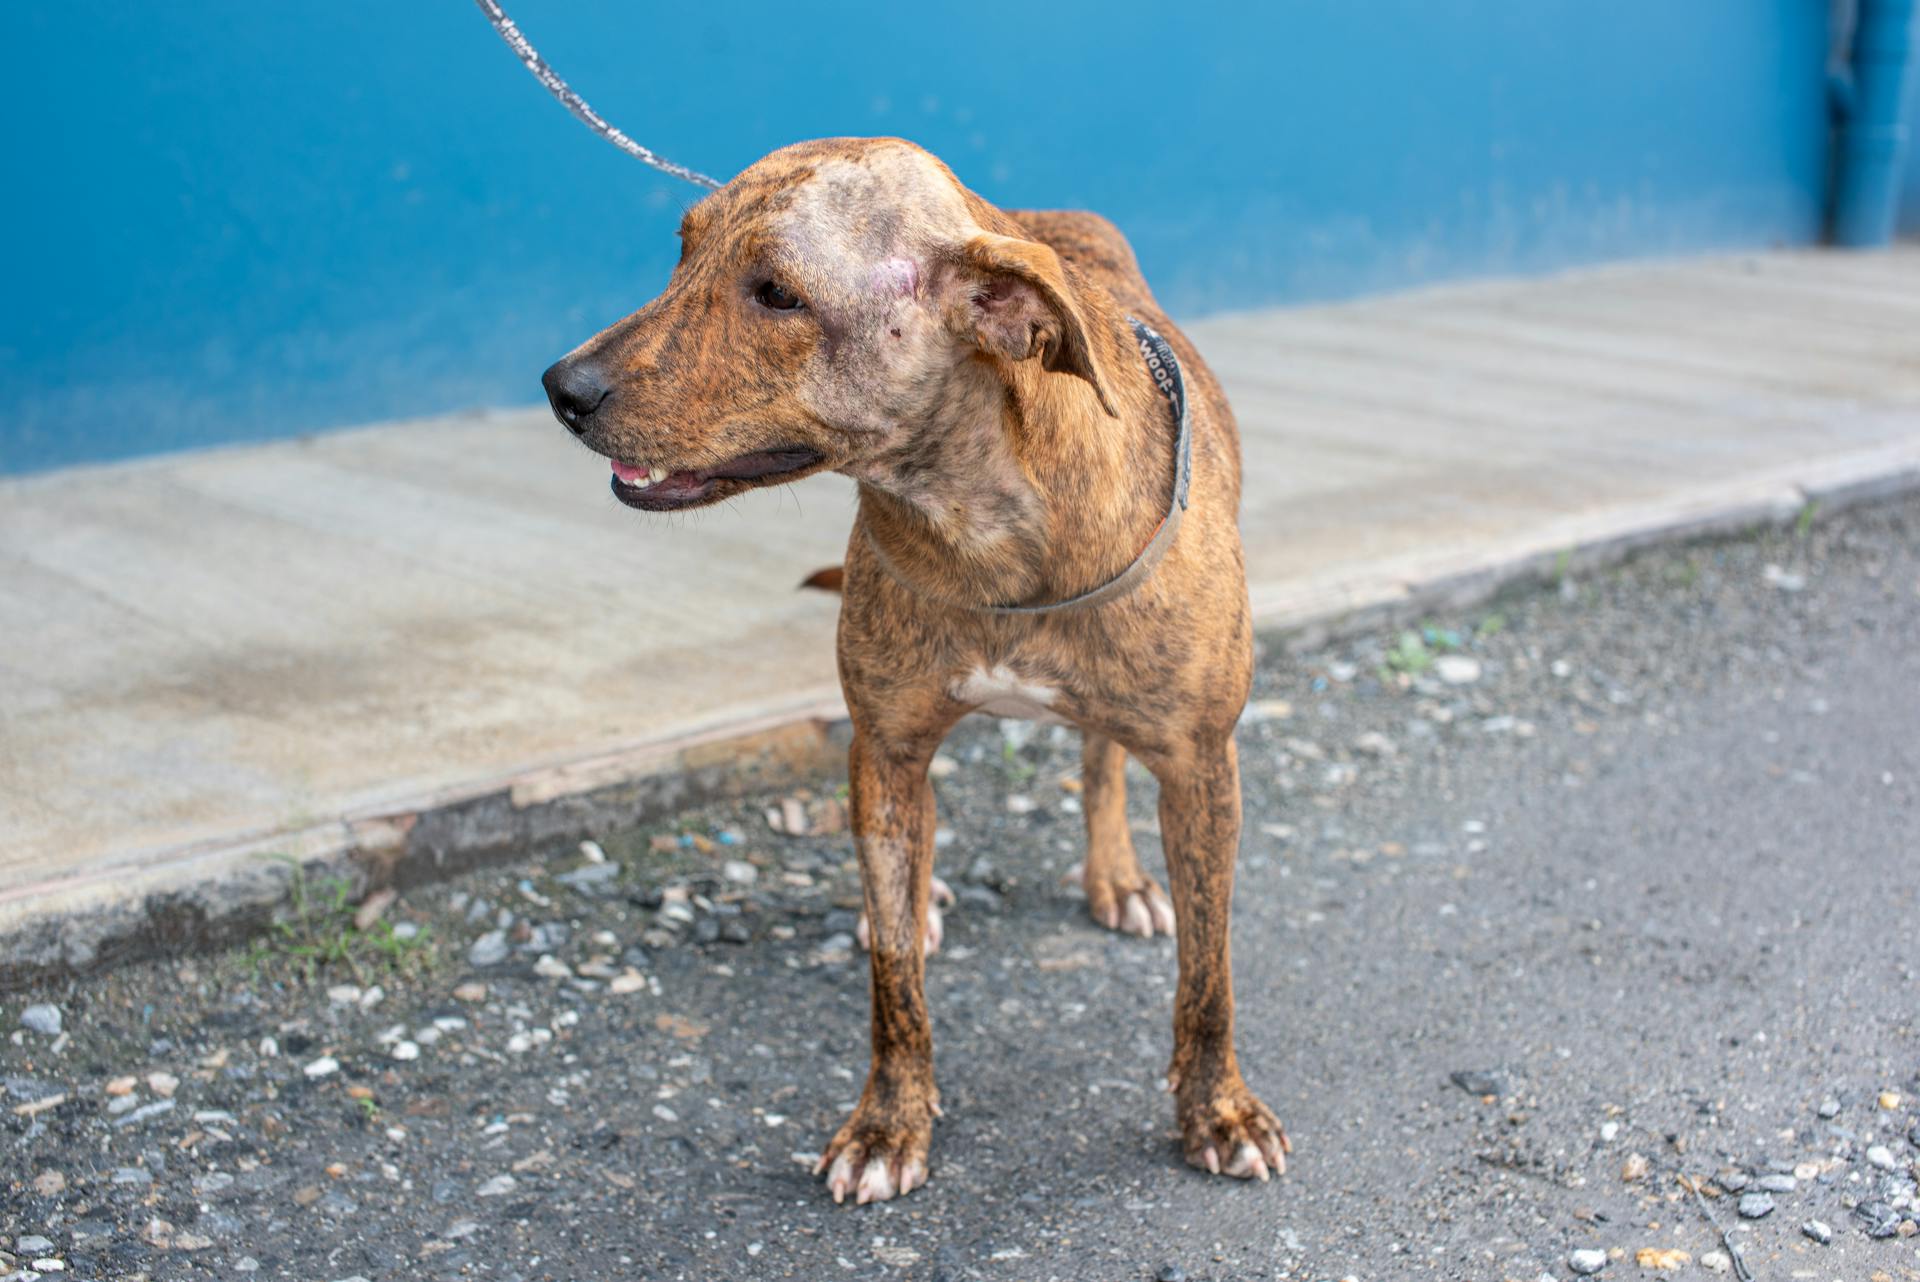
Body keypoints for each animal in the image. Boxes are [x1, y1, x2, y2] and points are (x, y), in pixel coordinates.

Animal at [545, 138, 1290, 1205]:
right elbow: (894, 975)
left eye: (777, 293)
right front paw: (888, 1124)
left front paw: (1218, 1110)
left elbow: (1209, 972)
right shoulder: (886, 748)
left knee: (1101, 758)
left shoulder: (1204, 767)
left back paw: (1115, 877)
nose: (563, 388)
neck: (984, 523)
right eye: (682, 250)